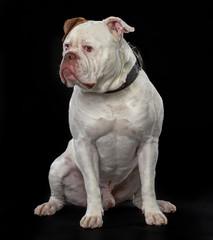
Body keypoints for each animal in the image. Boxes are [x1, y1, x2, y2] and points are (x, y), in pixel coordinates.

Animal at [34, 16, 176, 229]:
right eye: (67, 46)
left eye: (88, 48)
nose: (69, 57)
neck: (109, 93)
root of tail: (110, 197)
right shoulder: (85, 144)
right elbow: (91, 184)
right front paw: (93, 215)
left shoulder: (148, 143)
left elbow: (149, 185)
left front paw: (153, 213)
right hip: (58, 167)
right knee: (58, 197)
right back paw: (49, 206)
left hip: (138, 169)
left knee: (140, 196)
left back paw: (159, 205)